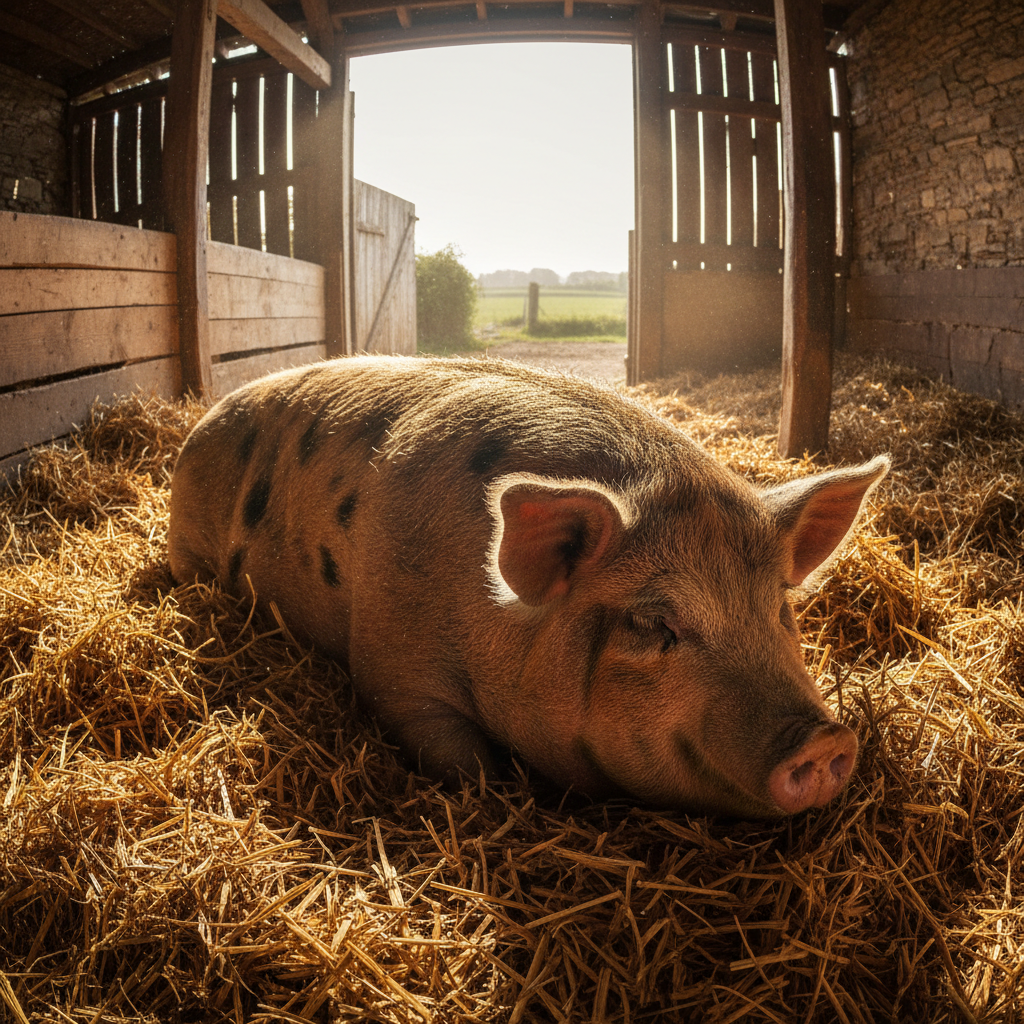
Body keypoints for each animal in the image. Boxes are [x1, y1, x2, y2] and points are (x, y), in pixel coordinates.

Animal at [168, 355, 889, 817]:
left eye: (779, 611)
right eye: (653, 623)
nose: (825, 741)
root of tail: (205, 417)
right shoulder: (393, 673)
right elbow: (465, 766)